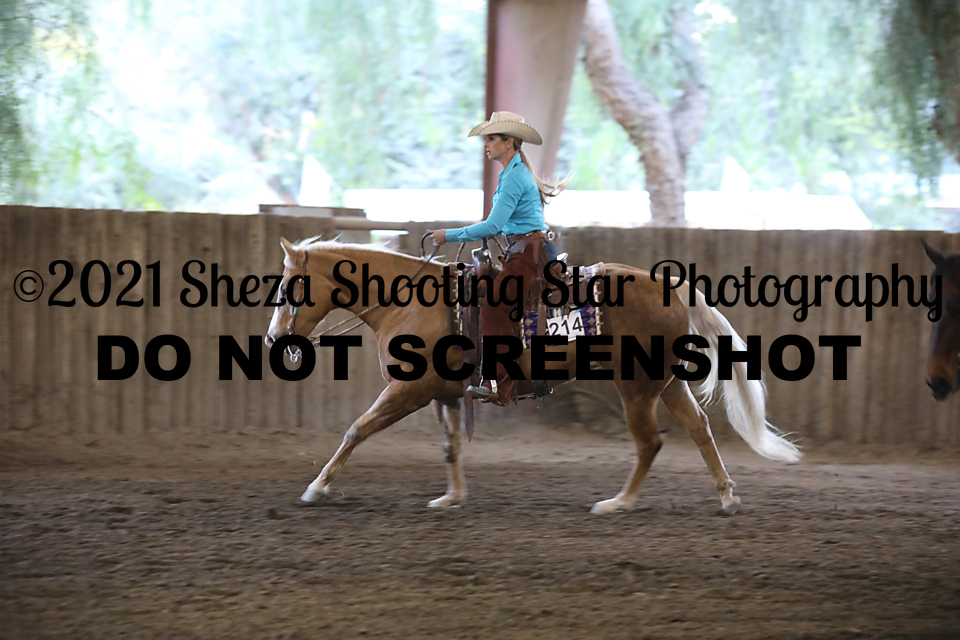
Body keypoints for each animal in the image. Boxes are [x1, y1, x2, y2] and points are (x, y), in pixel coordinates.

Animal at [264, 237, 800, 515]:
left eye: (291, 288)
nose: (273, 340)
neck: (410, 303)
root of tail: (669, 284)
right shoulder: (442, 394)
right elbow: (450, 445)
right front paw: (452, 496)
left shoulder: (408, 390)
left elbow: (357, 428)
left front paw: (316, 488)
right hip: (665, 384)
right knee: (699, 429)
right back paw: (726, 497)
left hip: (636, 388)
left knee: (650, 442)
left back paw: (618, 503)